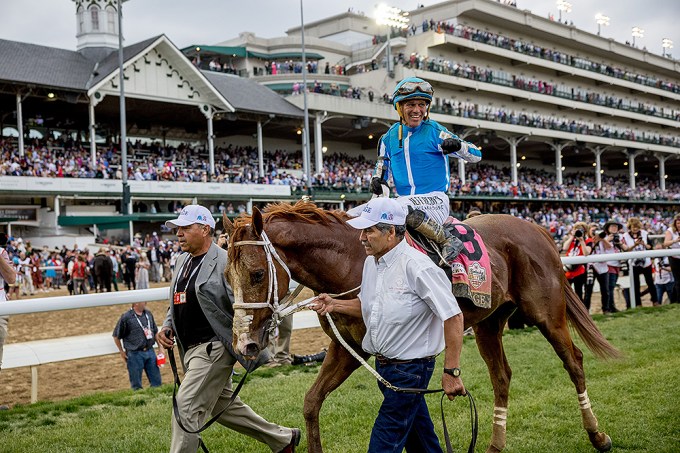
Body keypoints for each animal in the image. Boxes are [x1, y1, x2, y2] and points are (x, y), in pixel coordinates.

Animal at [224, 202, 620, 452]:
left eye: (257, 274)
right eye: (227, 276)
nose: (244, 344)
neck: (354, 259)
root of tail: (536, 228)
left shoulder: (367, 349)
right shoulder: (346, 347)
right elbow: (311, 402)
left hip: (546, 313)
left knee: (574, 361)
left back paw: (598, 435)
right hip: (490, 322)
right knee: (502, 376)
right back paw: (494, 444)